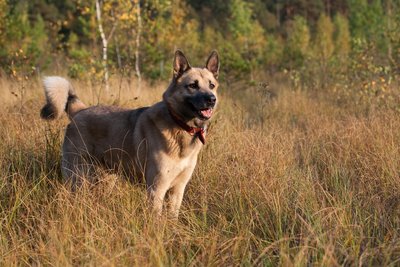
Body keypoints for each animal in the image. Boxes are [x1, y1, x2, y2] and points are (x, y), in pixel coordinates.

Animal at [40, 50, 220, 218]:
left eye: (211, 85)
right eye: (193, 86)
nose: (212, 99)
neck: (179, 124)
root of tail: (79, 111)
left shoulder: (177, 190)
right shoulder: (157, 188)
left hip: (106, 177)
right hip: (78, 177)